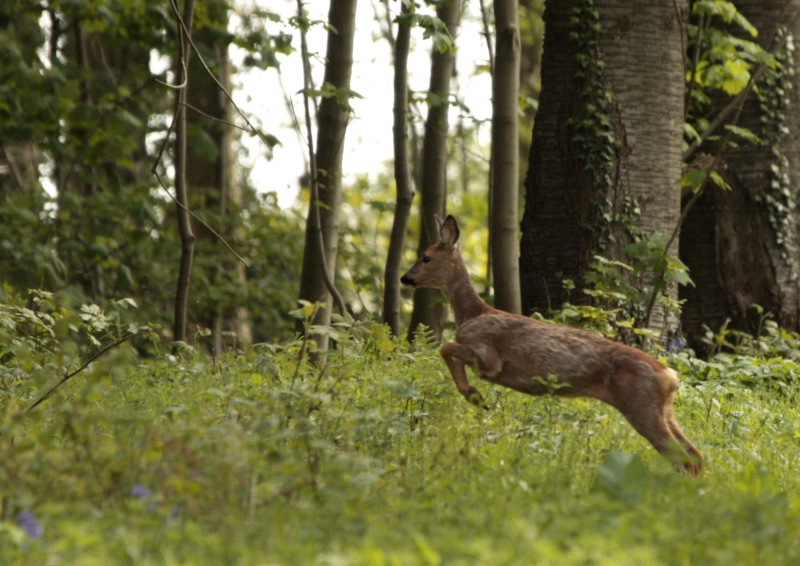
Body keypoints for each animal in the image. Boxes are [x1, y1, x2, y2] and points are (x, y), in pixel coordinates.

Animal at [400, 215, 700, 478]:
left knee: (683, 457)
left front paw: (475, 396)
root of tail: (670, 376)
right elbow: (446, 349)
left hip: (641, 405)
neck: (472, 314)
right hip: (663, 409)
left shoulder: (488, 357)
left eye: (426, 257)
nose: (404, 278)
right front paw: (476, 397)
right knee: (693, 454)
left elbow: (446, 348)